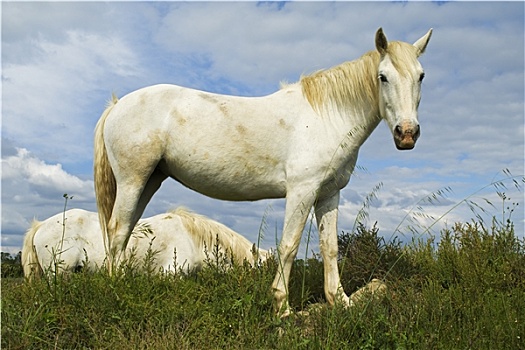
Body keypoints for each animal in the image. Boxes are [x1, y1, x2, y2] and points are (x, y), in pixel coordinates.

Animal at [93, 28, 430, 316]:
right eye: (383, 77)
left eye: (421, 76)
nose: (407, 133)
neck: (326, 116)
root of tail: (117, 105)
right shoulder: (302, 190)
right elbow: (289, 245)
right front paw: (282, 308)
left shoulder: (329, 193)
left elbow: (330, 248)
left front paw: (340, 301)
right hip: (133, 180)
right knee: (118, 230)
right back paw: (115, 289)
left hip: (150, 180)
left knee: (125, 231)